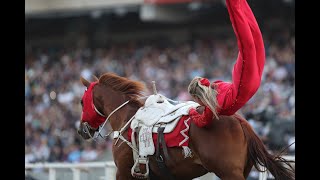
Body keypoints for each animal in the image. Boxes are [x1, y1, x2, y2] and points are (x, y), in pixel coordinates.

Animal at [77, 72, 296, 179]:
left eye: (80, 101)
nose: (81, 130)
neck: (128, 119)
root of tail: (239, 120)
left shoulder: (123, 173)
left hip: (229, 172)